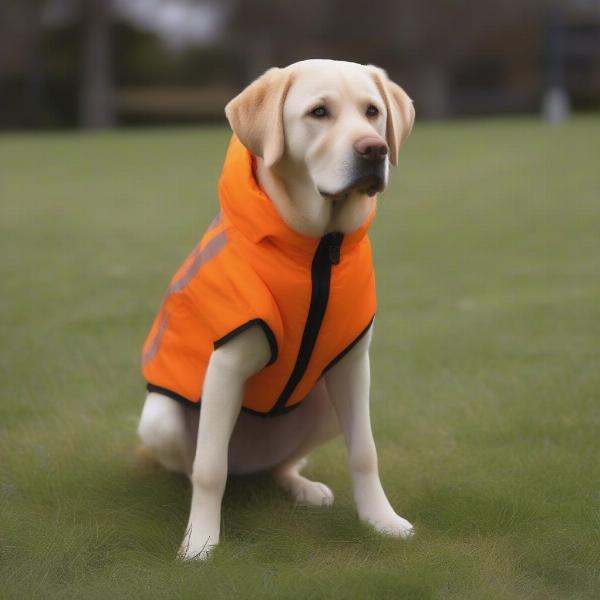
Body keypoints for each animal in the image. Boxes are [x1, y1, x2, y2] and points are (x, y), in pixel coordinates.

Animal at [138, 58, 414, 560]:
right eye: (319, 112)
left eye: (373, 112)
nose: (375, 150)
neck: (320, 248)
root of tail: (249, 465)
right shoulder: (226, 367)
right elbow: (210, 469)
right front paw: (200, 543)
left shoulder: (353, 365)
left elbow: (365, 452)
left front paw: (381, 521)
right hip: (160, 419)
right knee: (200, 466)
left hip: (324, 405)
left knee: (280, 467)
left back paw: (301, 487)